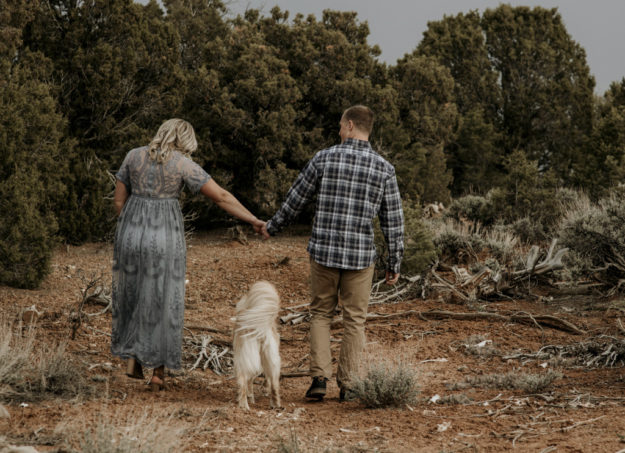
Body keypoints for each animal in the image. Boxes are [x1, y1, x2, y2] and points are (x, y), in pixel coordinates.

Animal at [233, 278, 282, 410]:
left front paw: (251, 397)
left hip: (245, 359)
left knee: (242, 381)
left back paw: (244, 405)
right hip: (272, 360)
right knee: (274, 385)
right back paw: (275, 405)